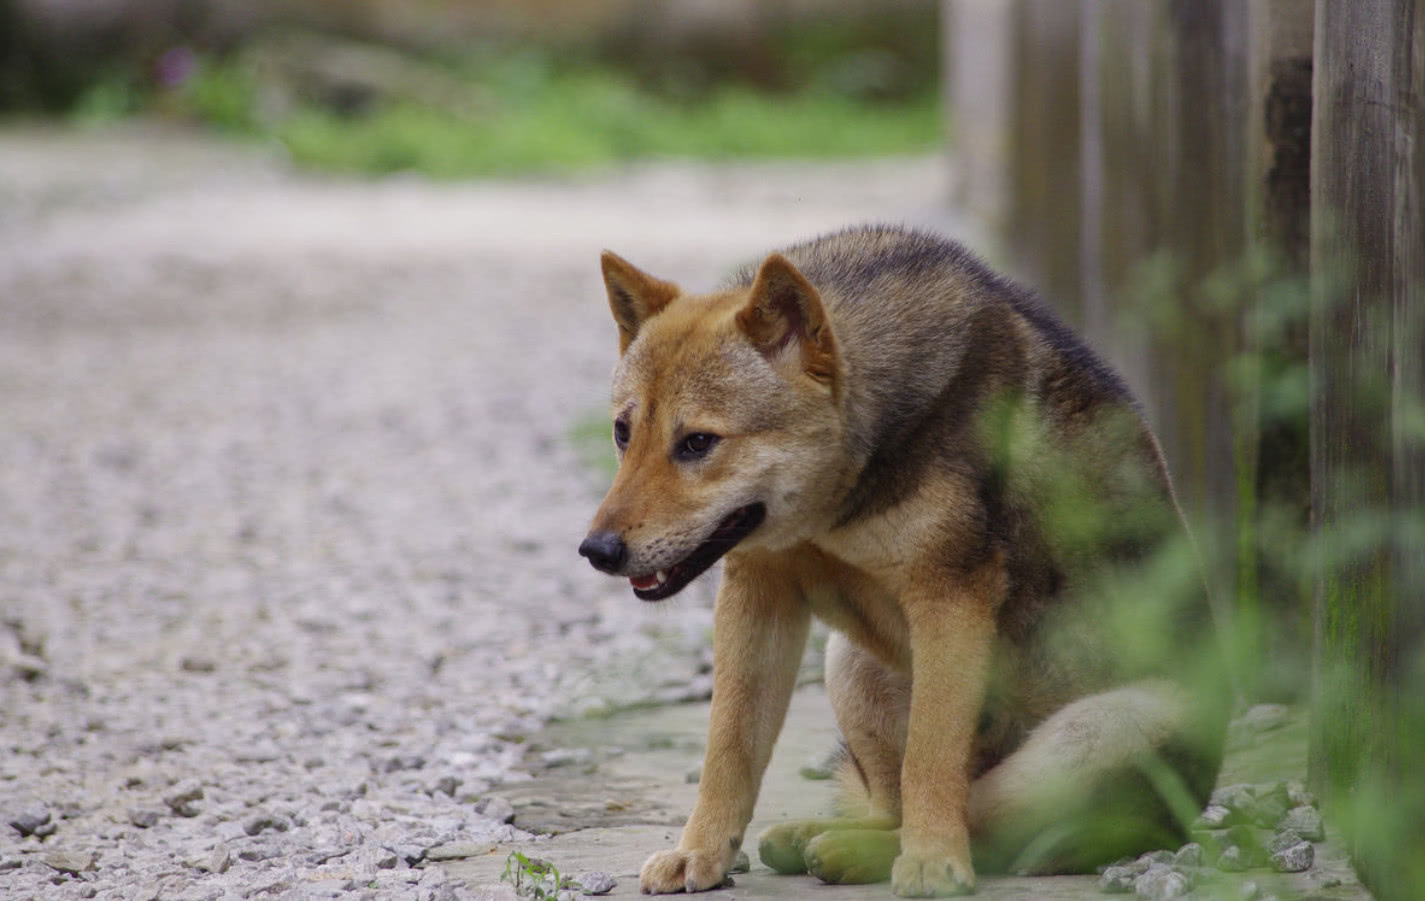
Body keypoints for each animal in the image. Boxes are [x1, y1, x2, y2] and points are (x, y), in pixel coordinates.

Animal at [575, 223, 1225, 895]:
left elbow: (930, 761)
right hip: (850, 662)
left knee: (980, 819)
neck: (836, 503)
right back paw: (823, 838)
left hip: (1106, 728)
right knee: (895, 804)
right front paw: (700, 853)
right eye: (623, 433)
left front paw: (933, 862)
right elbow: (729, 748)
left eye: (698, 443)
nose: (597, 551)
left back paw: (866, 850)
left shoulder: (949, 600)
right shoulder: (758, 594)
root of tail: (1171, 825)